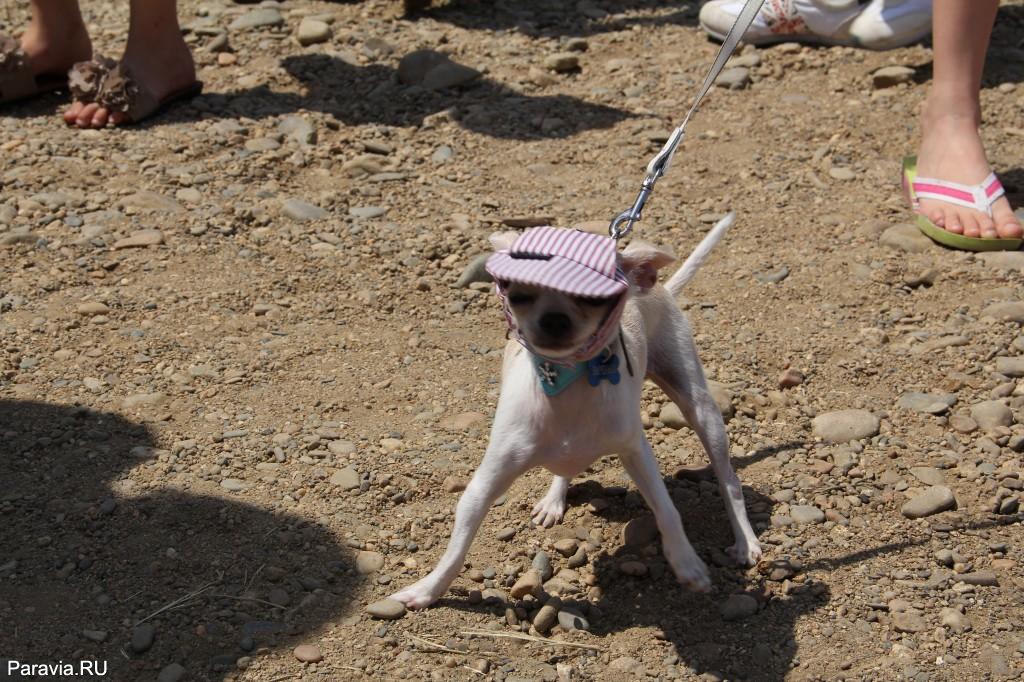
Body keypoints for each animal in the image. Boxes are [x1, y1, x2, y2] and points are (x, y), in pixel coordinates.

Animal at [391, 214, 761, 606]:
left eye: (593, 298)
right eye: (516, 294)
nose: (554, 318)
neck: (567, 381)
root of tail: (658, 288)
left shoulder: (636, 451)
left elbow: (667, 510)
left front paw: (686, 563)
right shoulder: (486, 481)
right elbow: (456, 547)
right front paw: (426, 590)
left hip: (700, 407)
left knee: (729, 481)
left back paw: (745, 540)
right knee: (564, 469)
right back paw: (554, 500)